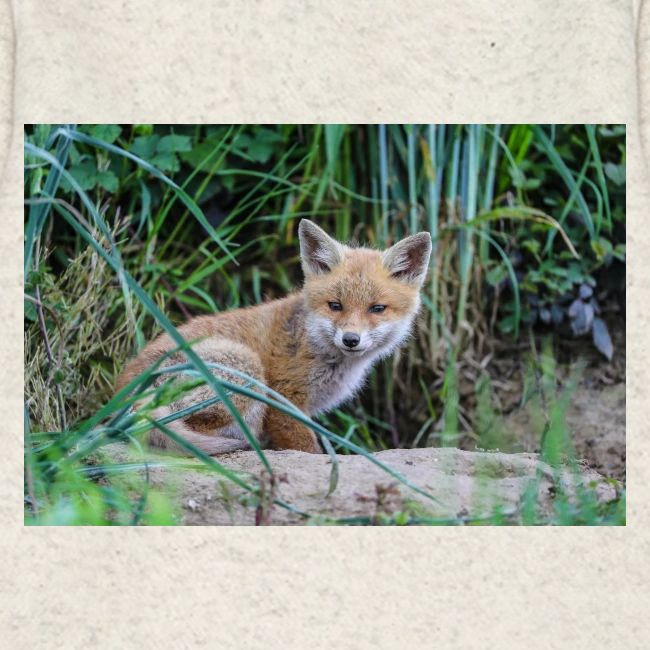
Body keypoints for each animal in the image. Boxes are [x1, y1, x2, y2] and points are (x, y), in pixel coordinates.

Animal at [116, 219, 432, 455]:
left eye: (377, 309)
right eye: (335, 305)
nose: (351, 339)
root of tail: (124, 395)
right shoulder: (284, 400)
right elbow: (307, 448)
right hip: (246, 369)